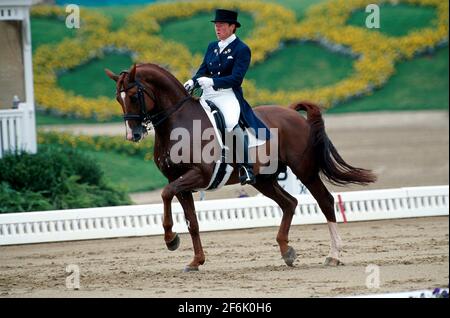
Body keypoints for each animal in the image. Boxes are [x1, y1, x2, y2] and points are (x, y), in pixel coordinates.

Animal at [104, 63, 376, 272]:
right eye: (118, 98)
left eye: (134, 96)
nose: (132, 134)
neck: (178, 124)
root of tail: (291, 114)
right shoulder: (180, 181)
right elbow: (191, 221)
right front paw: (195, 261)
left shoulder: (197, 175)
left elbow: (164, 194)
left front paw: (171, 239)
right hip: (263, 179)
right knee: (289, 203)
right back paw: (286, 251)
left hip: (304, 171)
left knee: (325, 201)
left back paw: (334, 255)